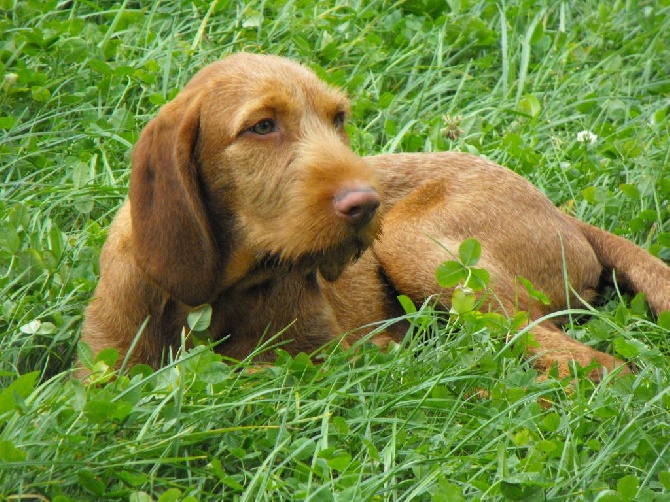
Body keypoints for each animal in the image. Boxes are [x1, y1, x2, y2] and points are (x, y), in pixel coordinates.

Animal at [80, 52, 670, 380]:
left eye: (338, 118)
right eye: (262, 126)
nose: (366, 203)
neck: (218, 293)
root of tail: (562, 213)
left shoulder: (333, 355)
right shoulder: (100, 375)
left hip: (417, 246)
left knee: (593, 364)